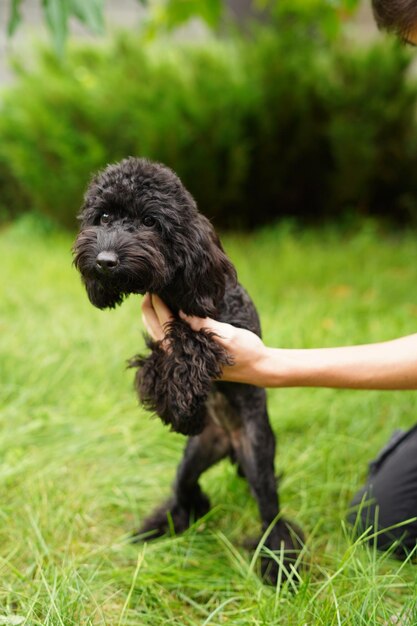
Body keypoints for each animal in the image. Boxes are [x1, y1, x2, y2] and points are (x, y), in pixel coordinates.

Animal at [73, 157, 304, 580]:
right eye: (105, 216)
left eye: (150, 222)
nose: (104, 262)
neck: (171, 288)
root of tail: (227, 442)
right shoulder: (157, 338)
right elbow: (155, 362)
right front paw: (182, 411)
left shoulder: (224, 327)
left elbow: (189, 345)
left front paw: (180, 406)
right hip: (192, 458)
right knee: (185, 494)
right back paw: (159, 527)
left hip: (258, 457)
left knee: (271, 516)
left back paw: (278, 566)